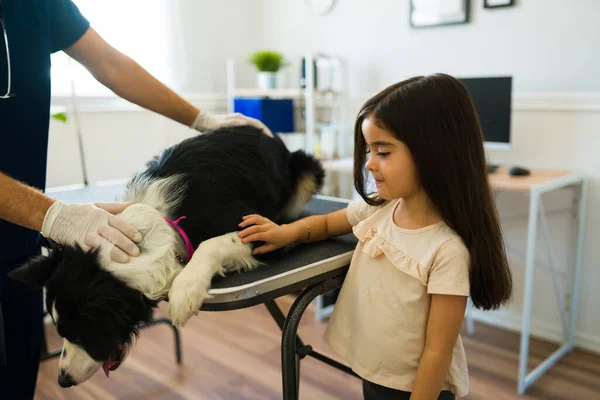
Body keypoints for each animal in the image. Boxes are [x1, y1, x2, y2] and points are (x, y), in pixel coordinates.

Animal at [8, 126, 324, 388]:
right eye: (60, 330)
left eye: (79, 332)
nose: (62, 381)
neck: (153, 223)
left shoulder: (262, 230)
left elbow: (211, 245)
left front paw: (185, 289)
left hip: (306, 169)